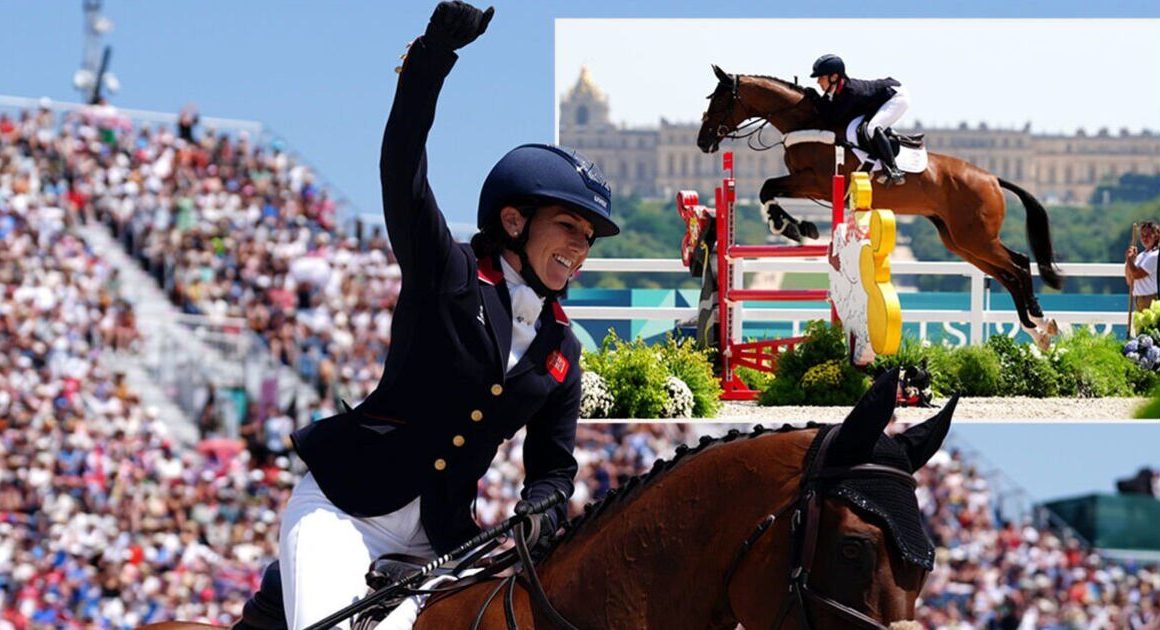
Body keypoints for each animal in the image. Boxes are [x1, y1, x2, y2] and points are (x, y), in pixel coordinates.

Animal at [691, 67, 1062, 350]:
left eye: (721, 101)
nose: (702, 142)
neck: (808, 122)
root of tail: (992, 178)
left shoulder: (815, 181)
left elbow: (768, 187)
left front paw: (793, 227)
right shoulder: (806, 184)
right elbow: (768, 189)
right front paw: (796, 226)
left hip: (976, 237)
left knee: (1019, 265)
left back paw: (1040, 320)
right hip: (960, 240)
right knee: (1006, 274)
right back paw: (1037, 330)